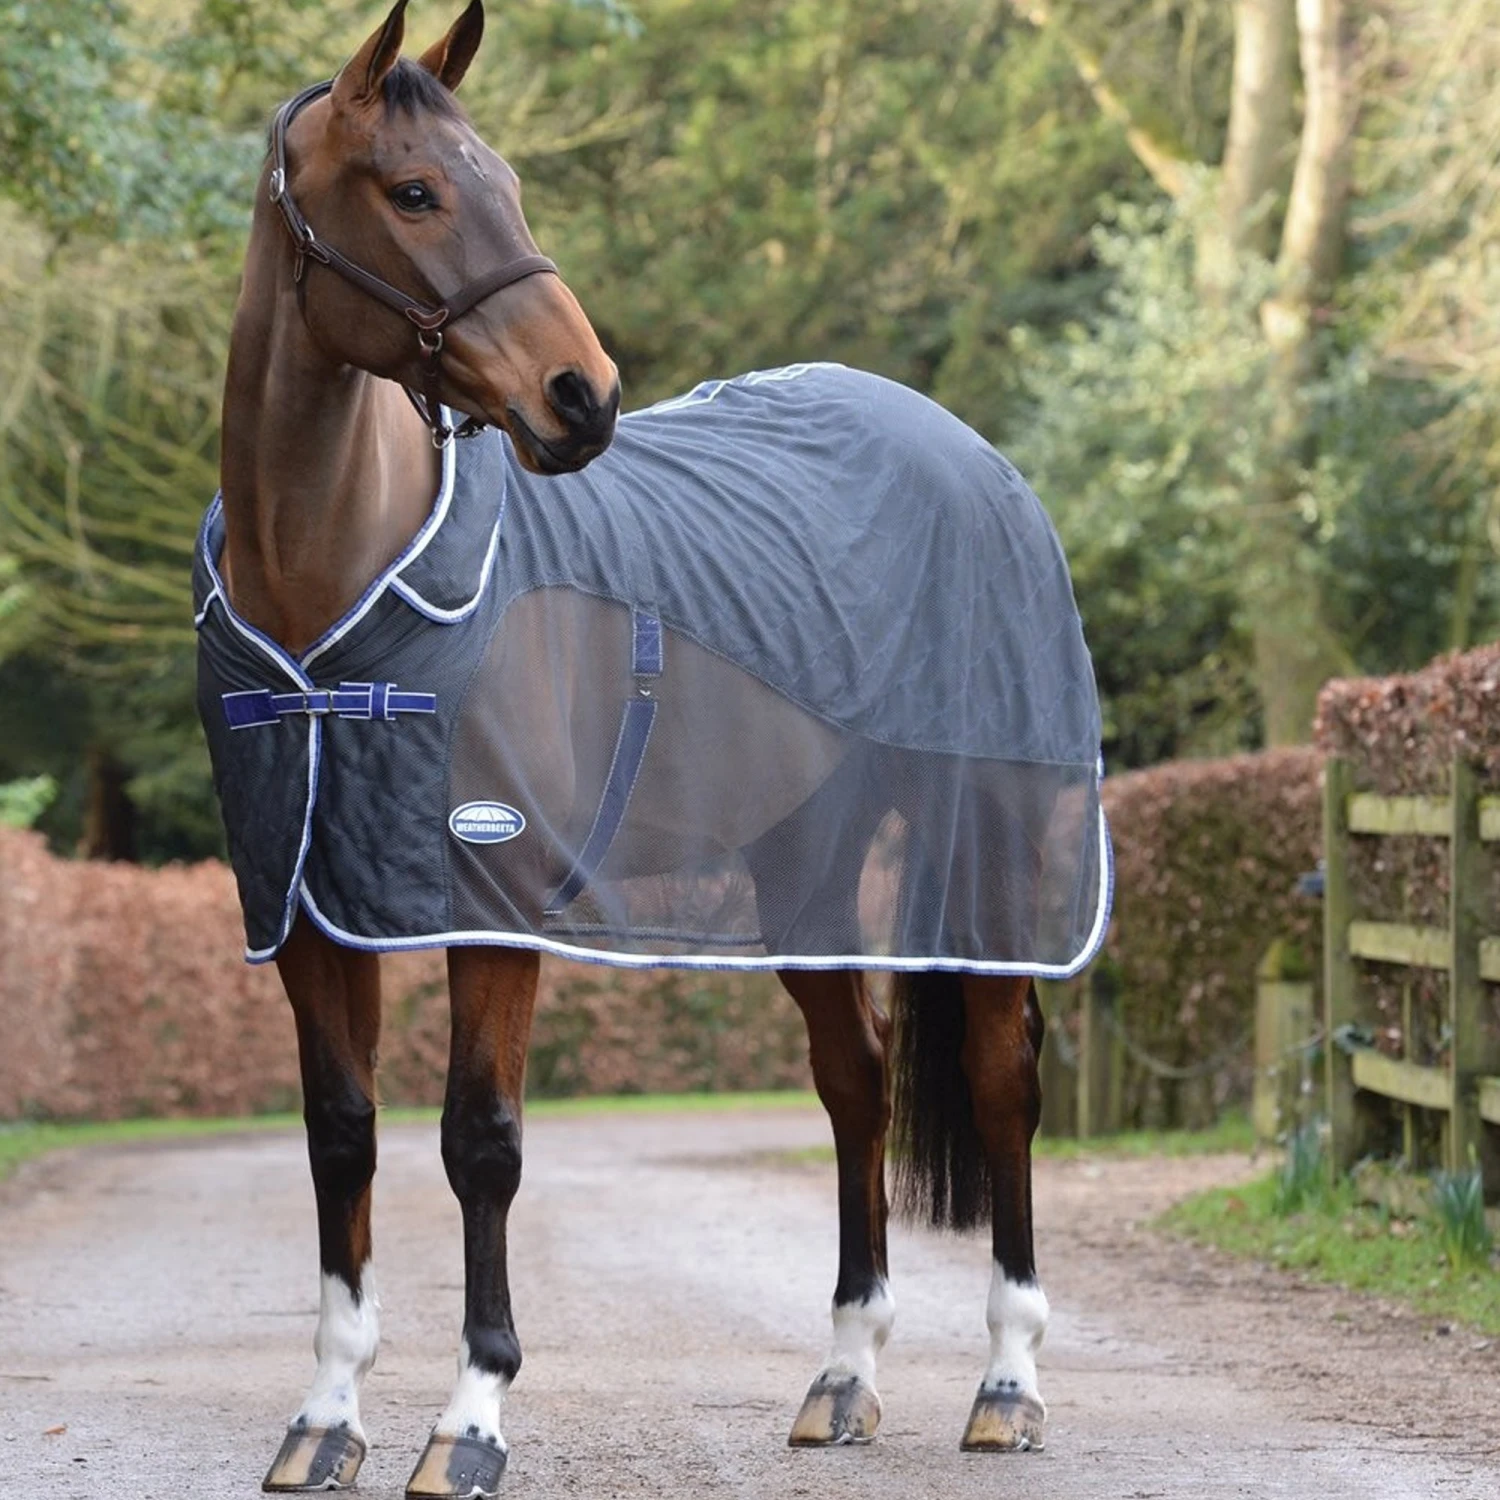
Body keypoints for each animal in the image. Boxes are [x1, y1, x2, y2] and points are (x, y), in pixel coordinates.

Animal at [202, 4, 1107, 1494]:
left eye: (509, 182)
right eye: (415, 191)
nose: (585, 397)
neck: (329, 595)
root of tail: (979, 460)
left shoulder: (494, 903)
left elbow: (481, 1144)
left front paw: (470, 1421)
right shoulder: (311, 909)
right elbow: (341, 1140)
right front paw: (324, 1418)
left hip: (987, 847)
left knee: (999, 1082)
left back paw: (1011, 1384)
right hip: (805, 864)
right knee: (856, 1084)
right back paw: (844, 1378)